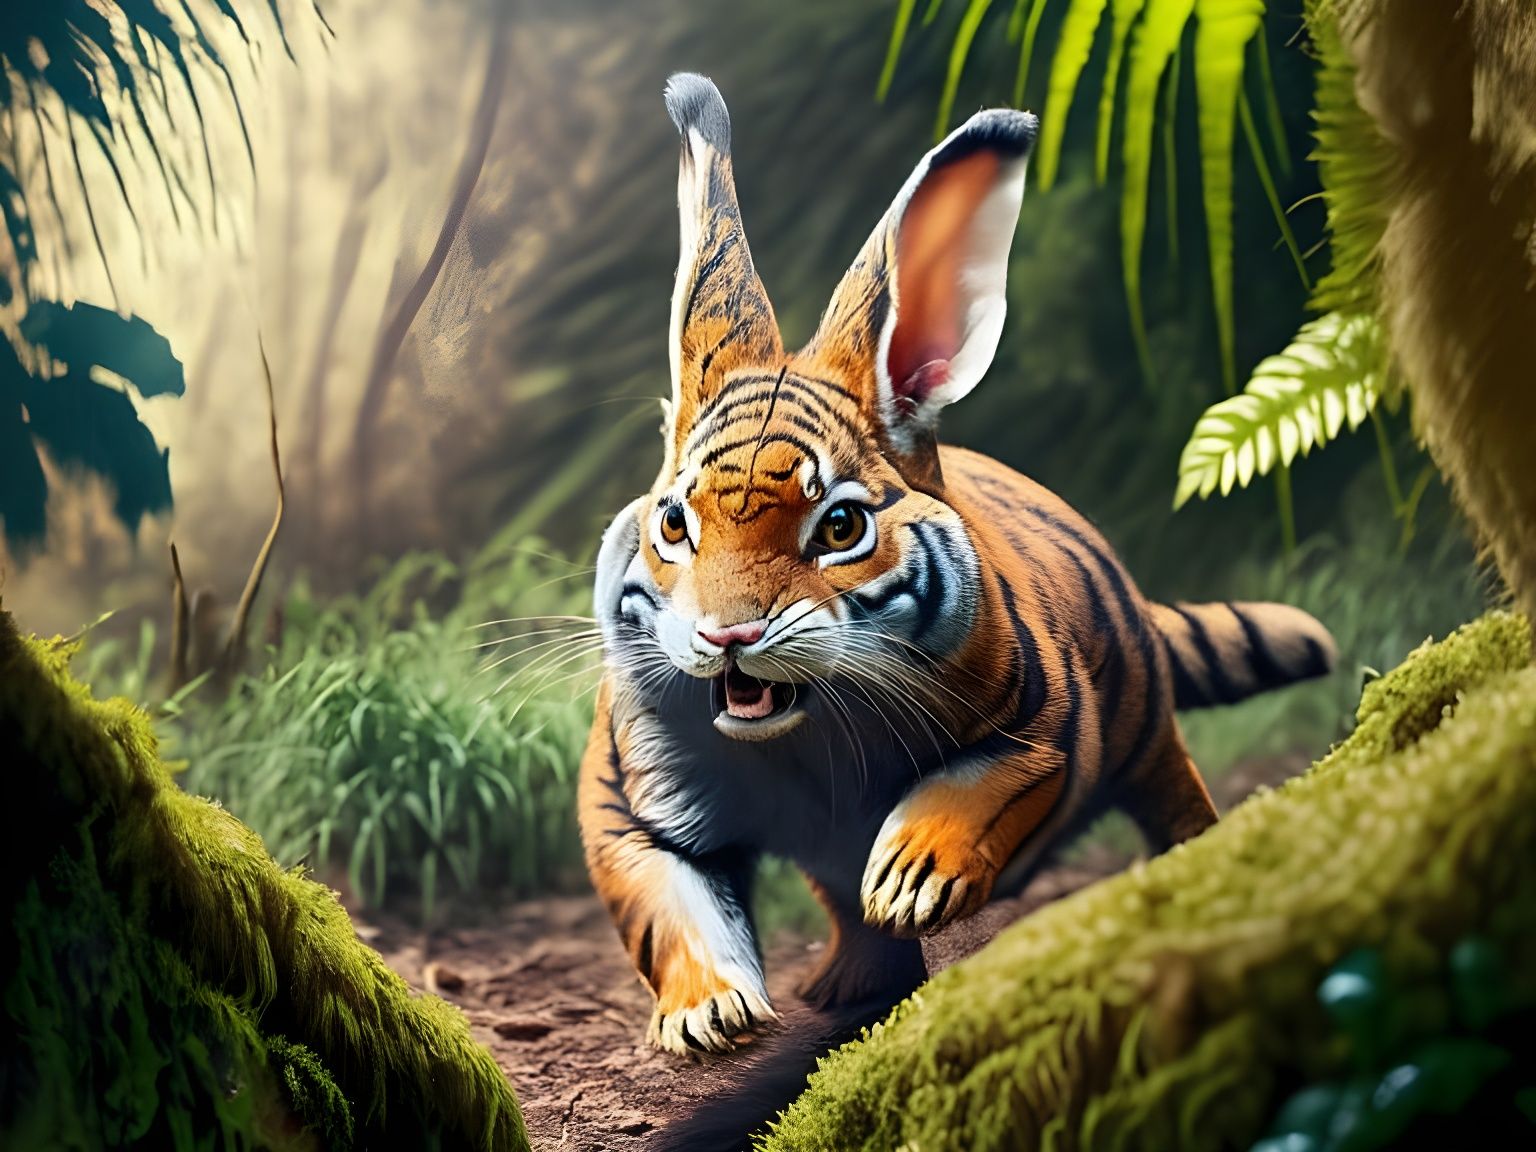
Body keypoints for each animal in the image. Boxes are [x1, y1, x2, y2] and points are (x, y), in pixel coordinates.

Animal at [578, 72, 1336, 1064]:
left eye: (841, 526)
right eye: (674, 523)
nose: (726, 633)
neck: (803, 740)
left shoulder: (1044, 719)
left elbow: (973, 785)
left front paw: (911, 877)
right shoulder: (628, 799)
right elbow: (669, 901)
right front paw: (709, 1013)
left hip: (1143, 721)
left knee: (1175, 790)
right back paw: (847, 980)